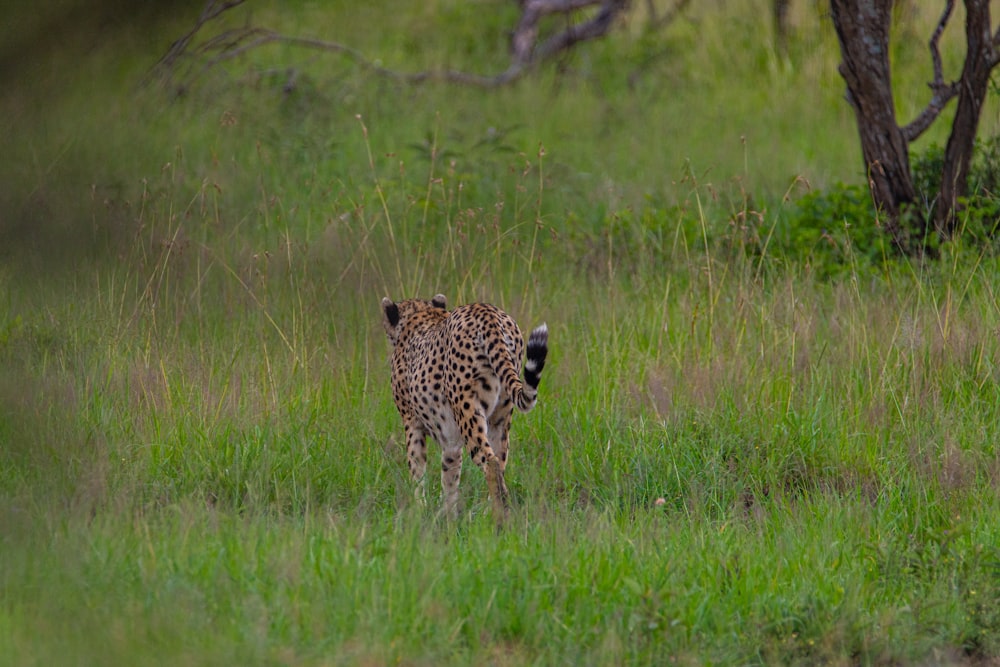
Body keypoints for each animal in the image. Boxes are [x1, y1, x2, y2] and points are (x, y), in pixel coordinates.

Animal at [380, 296, 552, 520]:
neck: (420, 314)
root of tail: (487, 312)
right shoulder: (450, 437)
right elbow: (450, 474)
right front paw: (448, 514)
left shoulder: (411, 422)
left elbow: (417, 468)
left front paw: (418, 509)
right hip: (500, 418)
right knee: (500, 462)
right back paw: (492, 511)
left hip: (467, 410)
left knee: (490, 463)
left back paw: (498, 516)